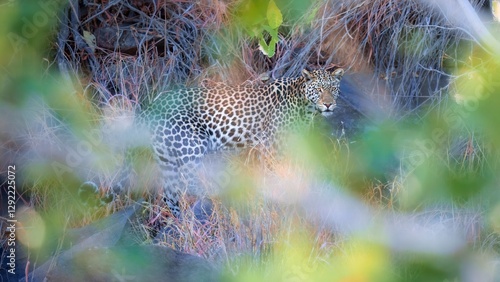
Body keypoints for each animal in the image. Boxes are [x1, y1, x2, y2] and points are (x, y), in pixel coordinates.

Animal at [80, 67, 346, 217]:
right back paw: (214, 201)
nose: (329, 104)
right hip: (191, 147)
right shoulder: (273, 145)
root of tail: (150, 106)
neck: (305, 105)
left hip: (167, 156)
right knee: (189, 184)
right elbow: (277, 173)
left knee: (169, 193)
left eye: (333, 88)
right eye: (319, 89)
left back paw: (182, 223)